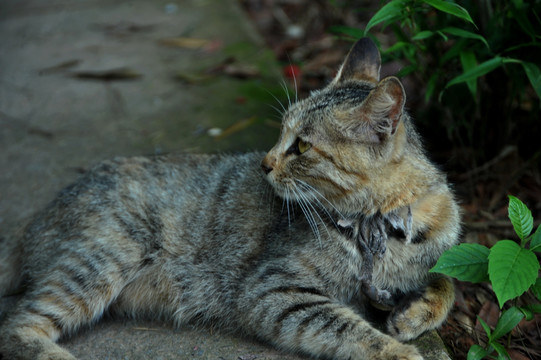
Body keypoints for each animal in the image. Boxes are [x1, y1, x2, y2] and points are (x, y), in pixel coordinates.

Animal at [0, 37, 460, 360]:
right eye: (281, 131)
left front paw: (414, 312)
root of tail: (35, 220)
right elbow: (350, 329)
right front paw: (399, 351)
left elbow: (447, 280)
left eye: (302, 147)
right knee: (15, 326)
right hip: (101, 259)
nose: (264, 163)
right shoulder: (272, 292)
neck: (379, 220)